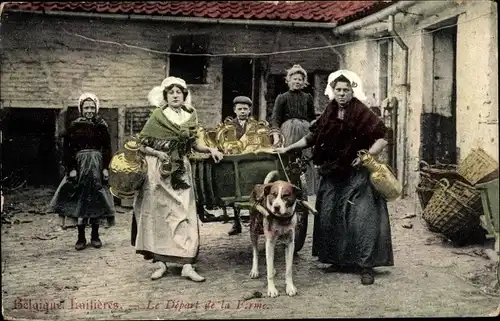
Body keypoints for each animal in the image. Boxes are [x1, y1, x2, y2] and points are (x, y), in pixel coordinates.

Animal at [249, 170, 302, 298]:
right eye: (273, 194)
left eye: (286, 195)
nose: (276, 207)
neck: (281, 219)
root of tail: (262, 185)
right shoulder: (270, 240)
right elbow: (268, 269)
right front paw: (272, 289)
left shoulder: (290, 243)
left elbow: (288, 269)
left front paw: (290, 287)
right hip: (253, 229)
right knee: (255, 252)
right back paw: (255, 270)